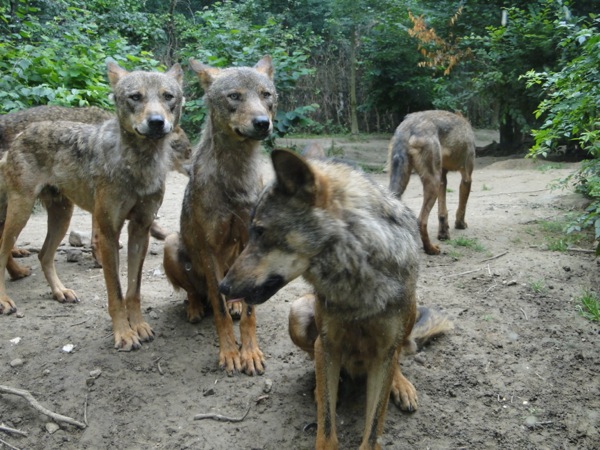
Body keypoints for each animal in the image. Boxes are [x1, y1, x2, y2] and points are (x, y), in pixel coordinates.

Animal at [0, 61, 184, 352]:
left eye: (168, 97)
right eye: (135, 97)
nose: (156, 121)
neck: (139, 165)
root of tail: (20, 135)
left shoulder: (140, 230)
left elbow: (134, 290)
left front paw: (139, 326)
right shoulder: (109, 233)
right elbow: (116, 292)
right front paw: (124, 334)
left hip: (62, 216)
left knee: (44, 255)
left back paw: (60, 292)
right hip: (21, 212)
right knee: (2, 250)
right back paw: (5, 300)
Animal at [163, 54, 278, 374]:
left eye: (266, 95)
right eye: (234, 96)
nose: (263, 123)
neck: (236, 178)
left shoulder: (251, 243)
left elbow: (250, 313)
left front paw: (250, 352)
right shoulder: (209, 249)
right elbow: (219, 310)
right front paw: (229, 353)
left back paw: (235, 303)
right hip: (172, 244)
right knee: (197, 293)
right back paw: (194, 307)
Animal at [218, 149, 452, 448]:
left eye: (259, 231)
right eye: (251, 233)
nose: (222, 287)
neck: (356, 278)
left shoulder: (384, 354)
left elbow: (372, 429)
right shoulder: (327, 345)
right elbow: (327, 424)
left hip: (406, 321)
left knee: (399, 356)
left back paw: (400, 384)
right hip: (299, 315)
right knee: (320, 368)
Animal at [386, 110, 476, 255]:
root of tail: (407, 126)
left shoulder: (443, 179)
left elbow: (442, 212)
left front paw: (444, 234)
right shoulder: (466, 178)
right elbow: (461, 207)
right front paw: (460, 225)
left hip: (404, 183)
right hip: (432, 183)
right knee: (421, 221)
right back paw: (431, 249)